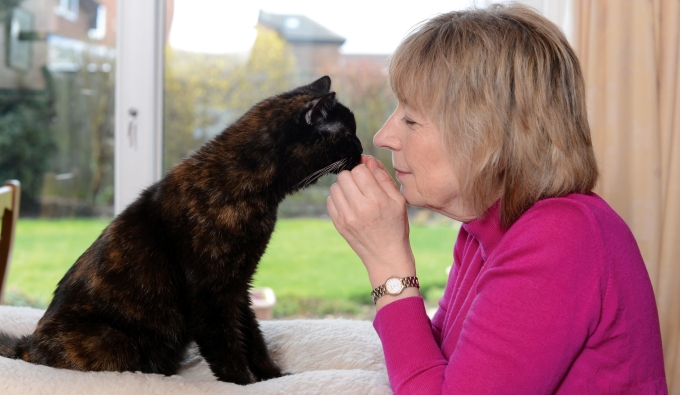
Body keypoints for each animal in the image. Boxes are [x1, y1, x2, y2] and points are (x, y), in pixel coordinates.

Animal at [0, 76, 364, 386]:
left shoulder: (238, 286)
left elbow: (253, 337)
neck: (253, 189)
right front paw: (243, 383)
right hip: (112, 340)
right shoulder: (209, 291)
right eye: (348, 134)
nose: (362, 150)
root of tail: (26, 345)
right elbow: (226, 344)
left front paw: (273, 377)